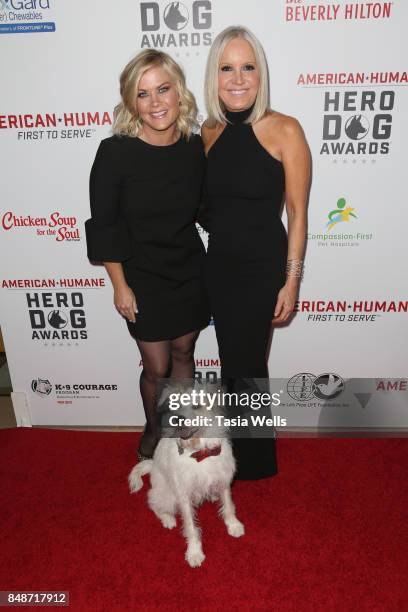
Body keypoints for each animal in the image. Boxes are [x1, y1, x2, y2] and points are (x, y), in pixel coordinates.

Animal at [127, 382, 244, 568]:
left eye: (196, 405)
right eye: (175, 405)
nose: (177, 419)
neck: (198, 453)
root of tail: (152, 465)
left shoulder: (223, 479)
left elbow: (228, 505)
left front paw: (233, 525)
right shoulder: (184, 495)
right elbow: (190, 525)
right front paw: (194, 552)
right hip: (166, 495)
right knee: (154, 504)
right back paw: (167, 519)